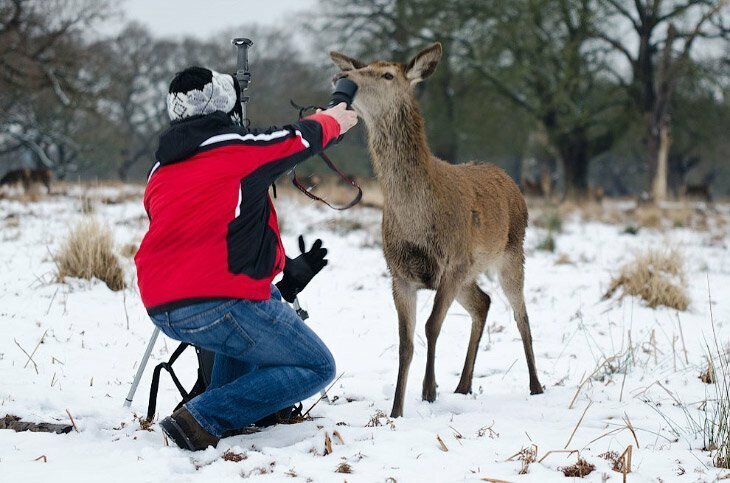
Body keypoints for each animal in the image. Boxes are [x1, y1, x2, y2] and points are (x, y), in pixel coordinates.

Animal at [330, 43, 540, 418]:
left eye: (387, 74)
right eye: (360, 67)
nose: (342, 76)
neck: (417, 220)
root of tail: (511, 181)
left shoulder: (452, 263)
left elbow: (432, 326)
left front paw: (429, 391)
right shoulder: (399, 273)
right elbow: (405, 342)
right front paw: (396, 411)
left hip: (511, 251)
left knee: (521, 314)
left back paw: (536, 386)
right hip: (470, 273)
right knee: (483, 303)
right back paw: (464, 385)